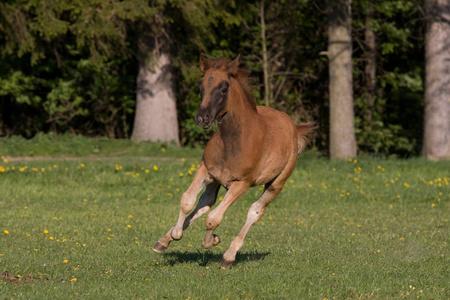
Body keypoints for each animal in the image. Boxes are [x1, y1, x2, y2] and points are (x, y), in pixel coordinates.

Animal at [153, 54, 314, 270]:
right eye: (200, 87)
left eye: (224, 88)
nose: (202, 118)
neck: (233, 142)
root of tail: (293, 127)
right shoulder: (206, 170)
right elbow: (188, 201)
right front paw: (171, 237)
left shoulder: (241, 184)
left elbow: (214, 219)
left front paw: (212, 241)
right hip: (215, 181)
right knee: (205, 202)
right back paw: (165, 239)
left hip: (276, 183)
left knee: (255, 211)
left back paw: (229, 256)